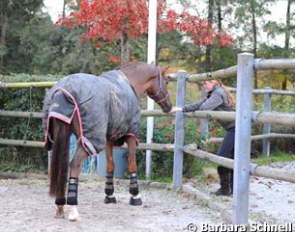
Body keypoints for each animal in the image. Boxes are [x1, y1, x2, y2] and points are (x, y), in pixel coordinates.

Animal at [41, 62, 171, 221]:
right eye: (166, 82)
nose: (169, 106)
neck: (129, 82)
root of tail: (65, 89)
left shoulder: (109, 138)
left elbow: (110, 166)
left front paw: (110, 195)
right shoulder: (131, 135)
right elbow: (132, 164)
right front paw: (135, 195)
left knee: (62, 165)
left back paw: (60, 205)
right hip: (91, 139)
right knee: (75, 164)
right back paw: (73, 208)